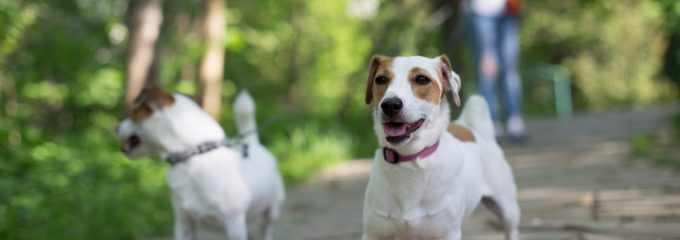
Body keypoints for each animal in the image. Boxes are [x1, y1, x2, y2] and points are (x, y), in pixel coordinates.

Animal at [116, 86, 284, 240]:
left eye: (133, 114)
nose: (116, 128)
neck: (194, 156)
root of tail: (253, 144)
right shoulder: (183, 223)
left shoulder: (234, 224)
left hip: (272, 211)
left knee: (267, 229)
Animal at [364, 55, 516, 239]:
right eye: (381, 79)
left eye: (422, 79)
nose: (390, 104)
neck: (411, 159)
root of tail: (469, 128)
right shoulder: (374, 233)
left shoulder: (447, 233)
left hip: (508, 209)